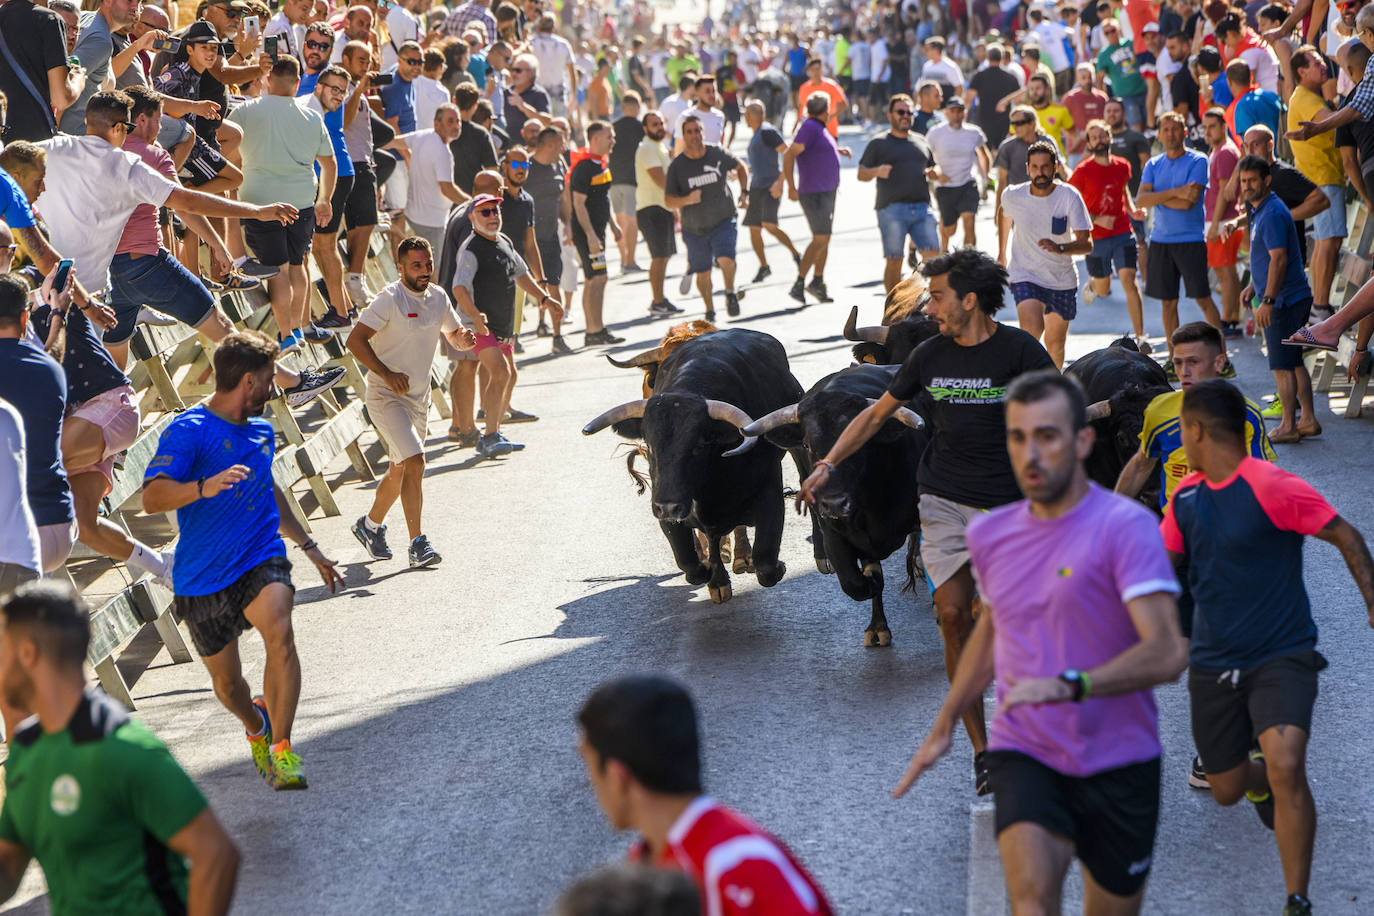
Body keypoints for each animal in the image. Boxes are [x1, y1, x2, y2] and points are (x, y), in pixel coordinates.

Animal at [579, 333, 813, 604]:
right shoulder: (668, 509)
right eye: (649, 444)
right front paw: (713, 576)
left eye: (699, 445)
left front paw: (775, 566)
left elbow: (765, 562)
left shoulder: (769, 492)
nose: (668, 506)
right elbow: (690, 564)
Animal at [741, 362, 934, 648]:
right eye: (807, 444)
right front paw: (876, 615)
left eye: (861, 441)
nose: (834, 504)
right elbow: (856, 584)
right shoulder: (835, 534)